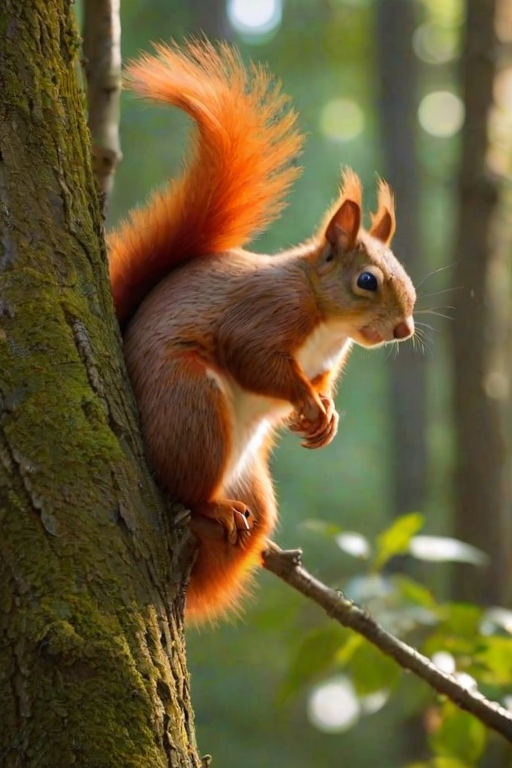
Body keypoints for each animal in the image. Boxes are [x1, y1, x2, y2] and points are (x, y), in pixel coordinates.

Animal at [108, 39, 416, 624]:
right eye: (367, 280)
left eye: (406, 276)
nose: (405, 329)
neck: (327, 323)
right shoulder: (261, 316)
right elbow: (255, 361)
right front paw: (306, 402)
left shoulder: (327, 360)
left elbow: (319, 383)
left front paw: (326, 416)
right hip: (191, 408)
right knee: (187, 488)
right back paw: (210, 505)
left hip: (253, 483)